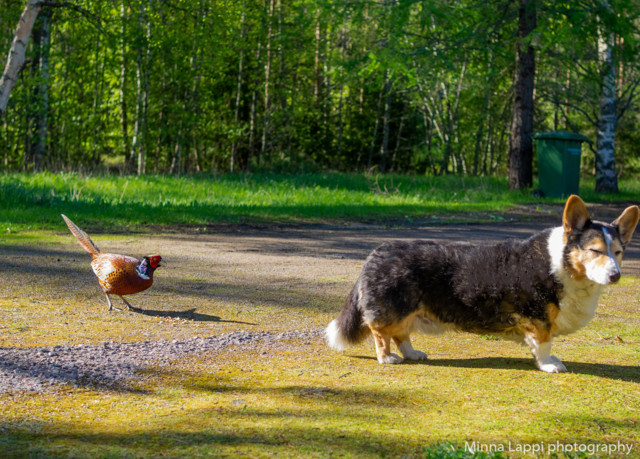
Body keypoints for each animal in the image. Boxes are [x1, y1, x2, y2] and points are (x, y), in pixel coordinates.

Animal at [328, 195, 636, 374]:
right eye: (595, 250)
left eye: (619, 252)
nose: (616, 276)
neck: (562, 264)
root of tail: (375, 252)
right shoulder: (539, 319)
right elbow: (544, 345)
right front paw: (549, 365)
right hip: (395, 308)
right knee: (381, 332)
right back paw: (387, 359)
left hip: (408, 309)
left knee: (401, 334)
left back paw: (413, 353)